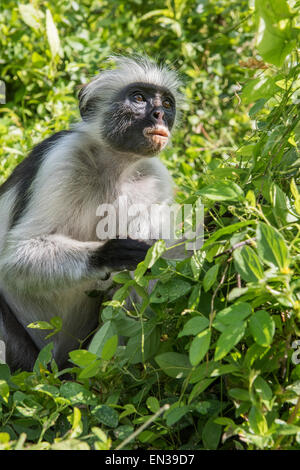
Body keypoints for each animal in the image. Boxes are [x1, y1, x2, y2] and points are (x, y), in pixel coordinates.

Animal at [0, 55, 182, 370]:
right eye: (139, 98)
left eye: (167, 103)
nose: (159, 114)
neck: (115, 166)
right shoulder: (62, 156)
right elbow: (16, 258)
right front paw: (113, 253)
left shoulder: (156, 179)